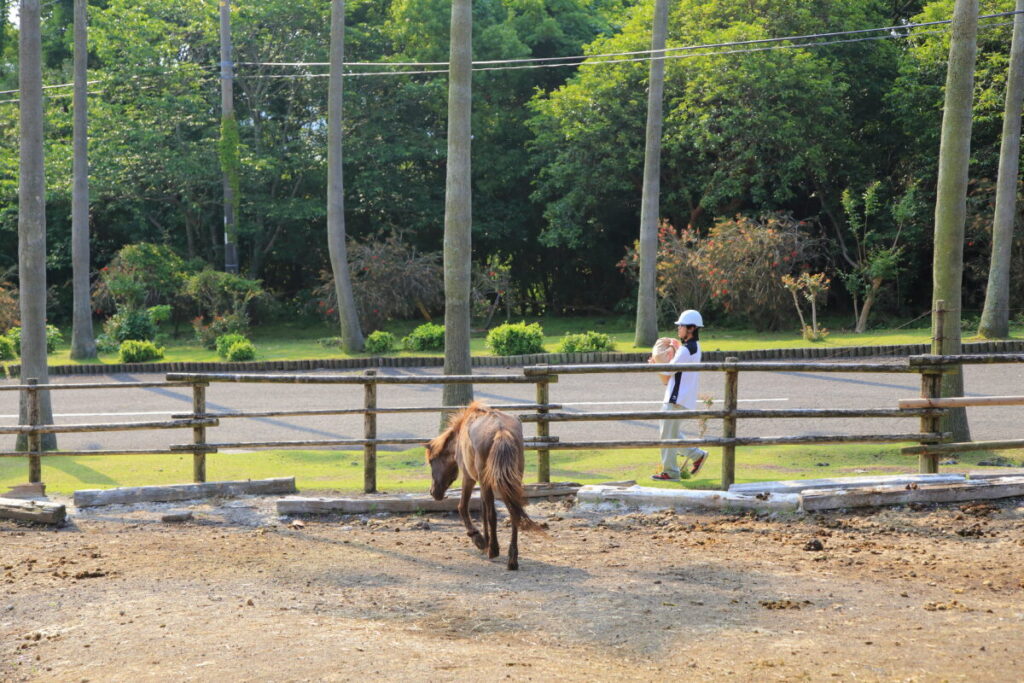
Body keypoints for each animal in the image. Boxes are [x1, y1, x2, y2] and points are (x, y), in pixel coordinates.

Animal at [425, 401, 545, 570]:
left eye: (431, 461)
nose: (433, 492)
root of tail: (500, 430)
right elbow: (483, 511)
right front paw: (485, 541)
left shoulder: (470, 478)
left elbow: (464, 507)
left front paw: (479, 540)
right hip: (509, 482)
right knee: (513, 513)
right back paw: (512, 558)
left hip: (487, 482)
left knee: (492, 514)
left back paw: (493, 550)